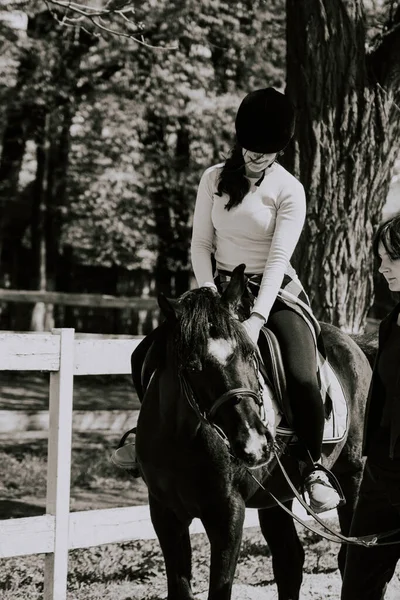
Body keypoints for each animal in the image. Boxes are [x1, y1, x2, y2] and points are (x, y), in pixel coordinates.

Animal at [135, 264, 372, 596]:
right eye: (193, 367)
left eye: (250, 354)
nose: (255, 444)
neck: (180, 440)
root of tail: (354, 344)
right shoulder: (165, 513)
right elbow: (180, 589)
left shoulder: (228, 513)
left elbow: (220, 588)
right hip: (277, 495)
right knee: (289, 561)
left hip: (353, 474)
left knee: (347, 555)